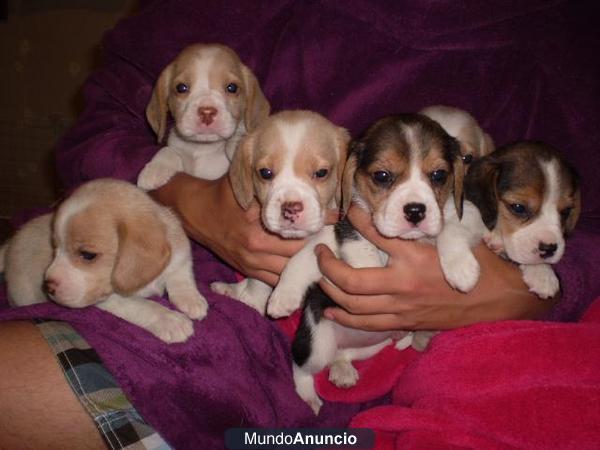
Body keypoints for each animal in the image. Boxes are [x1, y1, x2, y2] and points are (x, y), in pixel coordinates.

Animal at [1, 178, 209, 342]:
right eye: (55, 248)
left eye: (87, 255)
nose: (47, 286)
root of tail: (10, 245)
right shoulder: (109, 298)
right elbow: (141, 305)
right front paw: (169, 320)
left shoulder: (181, 253)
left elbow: (181, 275)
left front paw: (191, 299)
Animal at [137, 42, 270, 190]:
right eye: (181, 88)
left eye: (232, 88)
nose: (207, 112)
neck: (202, 148)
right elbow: (168, 150)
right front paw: (155, 168)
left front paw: (237, 144)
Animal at [211, 110, 352, 312]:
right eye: (265, 173)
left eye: (321, 173)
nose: (291, 209)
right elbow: (258, 279)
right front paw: (252, 300)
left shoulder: (330, 235)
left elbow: (302, 257)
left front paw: (284, 296)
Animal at [268, 114, 468, 414]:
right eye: (382, 176)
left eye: (439, 175)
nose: (415, 211)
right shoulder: (343, 226)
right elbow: (333, 249)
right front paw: (284, 296)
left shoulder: (444, 217)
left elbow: (451, 227)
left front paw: (463, 268)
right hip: (317, 344)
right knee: (301, 366)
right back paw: (309, 397)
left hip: (371, 344)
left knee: (343, 354)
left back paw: (345, 368)